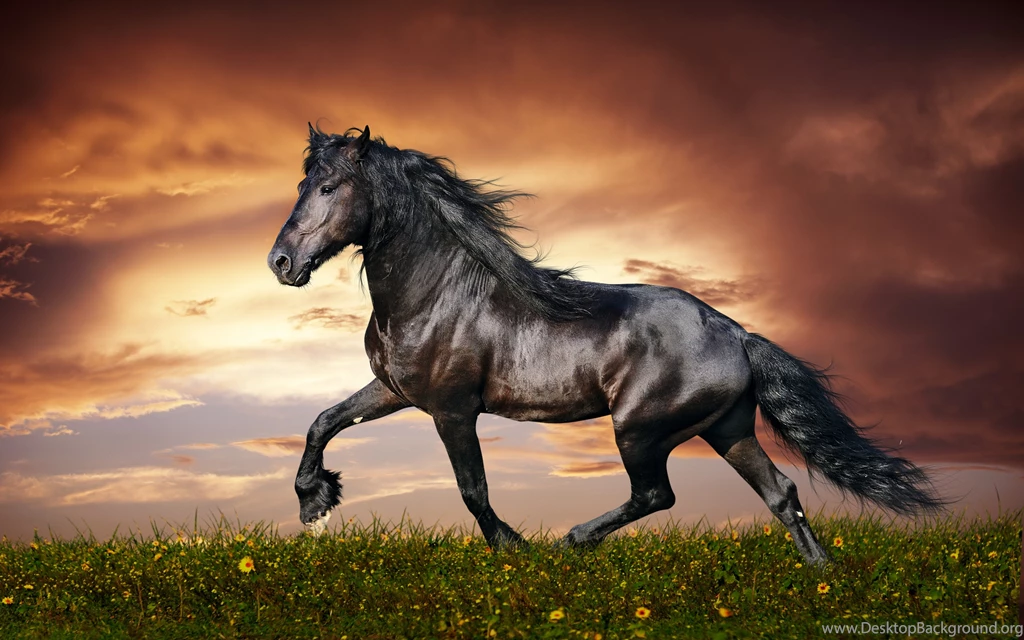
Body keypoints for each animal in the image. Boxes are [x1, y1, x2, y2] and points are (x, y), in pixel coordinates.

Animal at [268, 124, 945, 564]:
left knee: (656, 494)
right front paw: (315, 502)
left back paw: (572, 540)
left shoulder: (452, 409)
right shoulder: (395, 390)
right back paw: (820, 577)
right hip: (727, 428)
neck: (436, 293)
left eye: (329, 188)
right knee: (781, 494)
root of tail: (737, 334)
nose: (281, 263)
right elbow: (323, 420)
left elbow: (472, 489)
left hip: (639, 429)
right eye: (302, 184)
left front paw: (514, 549)